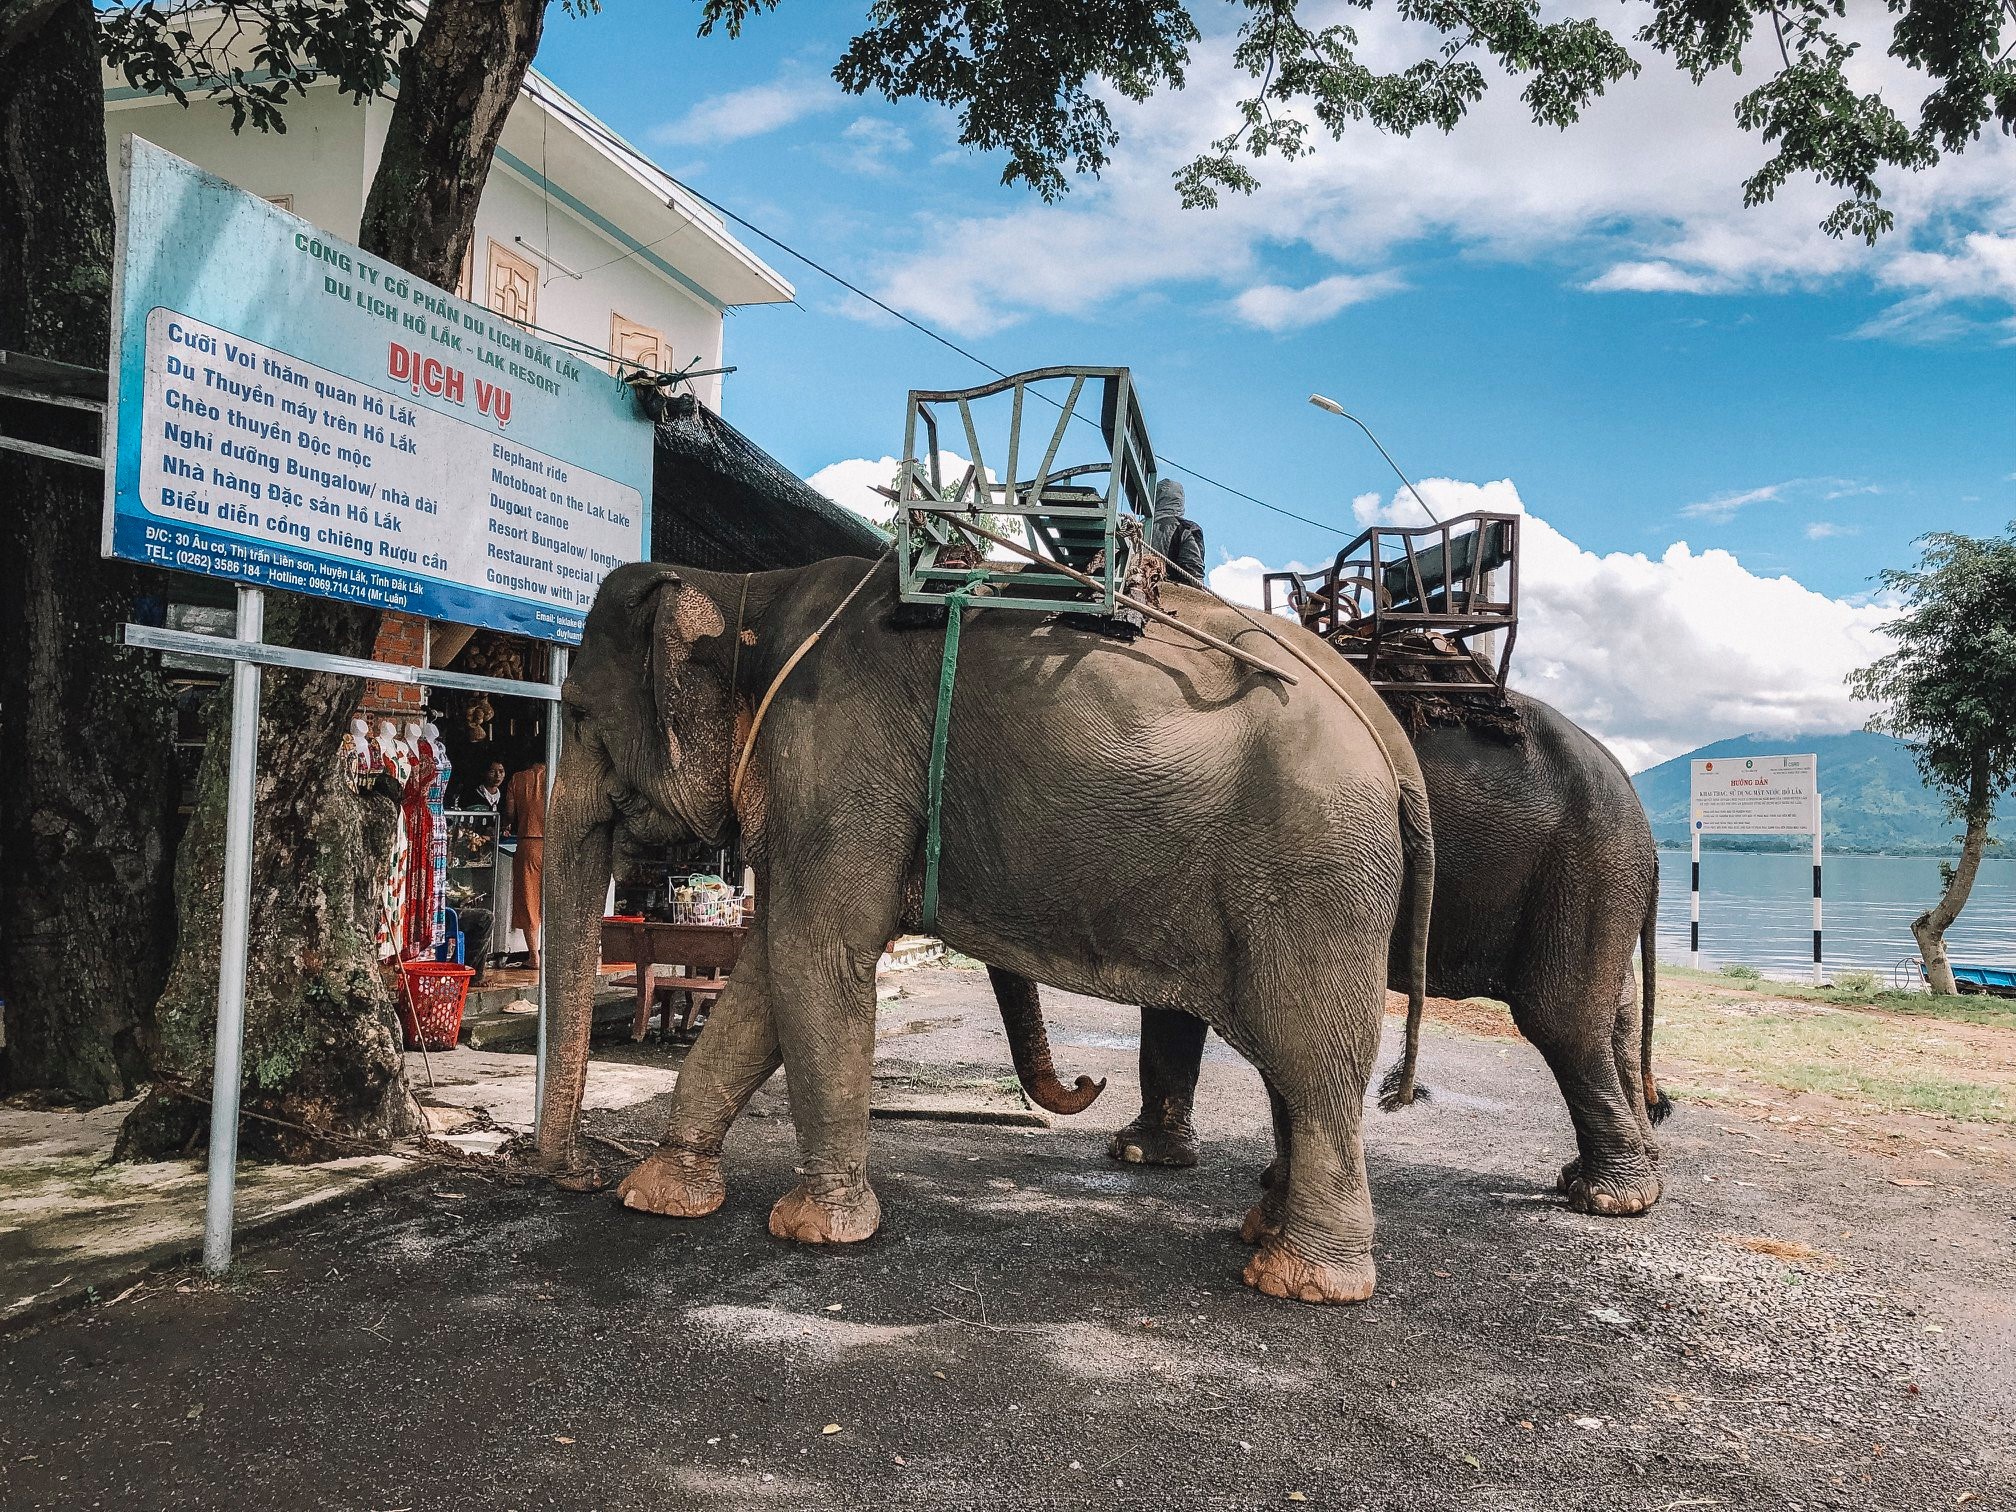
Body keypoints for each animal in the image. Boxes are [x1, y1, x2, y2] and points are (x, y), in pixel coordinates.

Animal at [524, 564, 1435, 1306]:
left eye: (580, 713)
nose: (582, 1172)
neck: (749, 590)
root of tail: (1391, 738)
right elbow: (763, 976)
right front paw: (657, 1195)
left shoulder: (836, 763)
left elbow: (816, 959)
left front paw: (816, 1231)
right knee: (1294, 1066)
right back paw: (1264, 1234)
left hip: (1316, 873)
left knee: (1313, 1058)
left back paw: (1302, 1281)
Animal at [1072, 693, 1669, 1225]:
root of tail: (1634, 798)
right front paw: (1142, 1154)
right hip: (1601, 878)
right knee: (1615, 1018)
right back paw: (1622, 1174)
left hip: (1585, 870)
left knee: (1563, 1020)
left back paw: (1609, 1198)